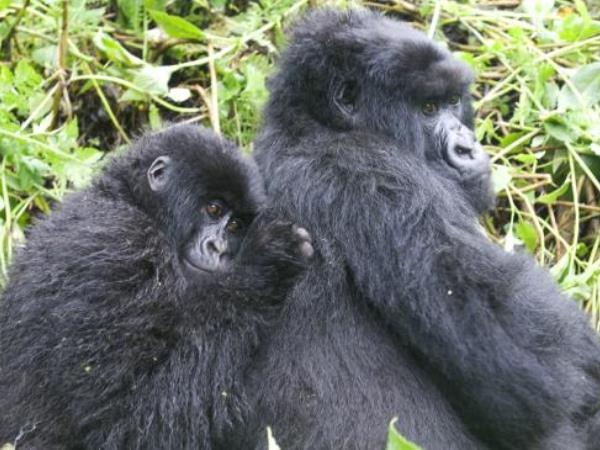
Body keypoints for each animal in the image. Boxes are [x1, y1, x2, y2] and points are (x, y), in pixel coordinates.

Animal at [1, 125, 314, 448]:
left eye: (236, 225)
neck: (133, 202)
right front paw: (268, 262)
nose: (218, 249)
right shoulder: (115, 249)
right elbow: (132, 418)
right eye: (213, 209)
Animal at [243, 7, 600, 450]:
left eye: (452, 102)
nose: (468, 148)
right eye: (428, 109)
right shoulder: (378, 174)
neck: (312, 128)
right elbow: (546, 369)